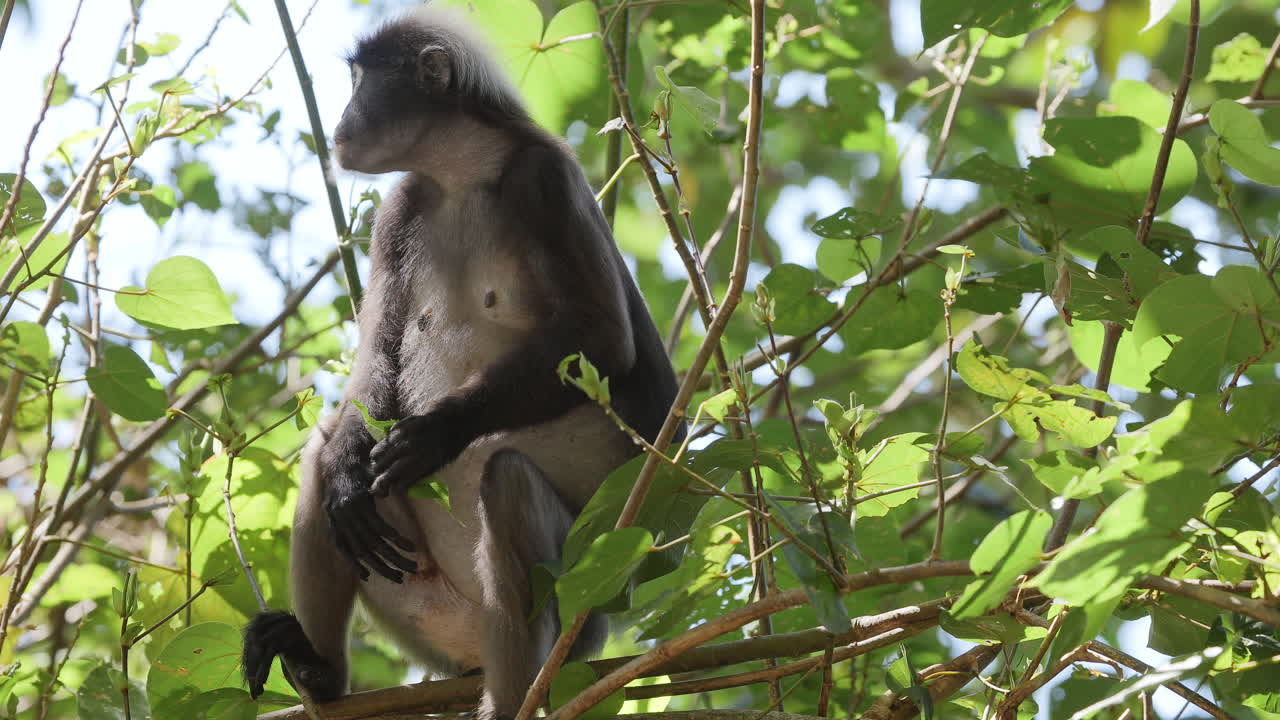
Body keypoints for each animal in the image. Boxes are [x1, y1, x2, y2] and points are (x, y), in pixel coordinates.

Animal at [240, 7, 681, 720]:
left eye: (361, 82)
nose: (342, 117)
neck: (464, 176)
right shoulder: (400, 210)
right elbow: (377, 360)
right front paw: (348, 475)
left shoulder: (544, 177)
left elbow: (606, 342)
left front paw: (435, 433)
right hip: (422, 606)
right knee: (329, 446)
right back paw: (320, 670)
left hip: (580, 604)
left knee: (506, 482)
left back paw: (509, 700)